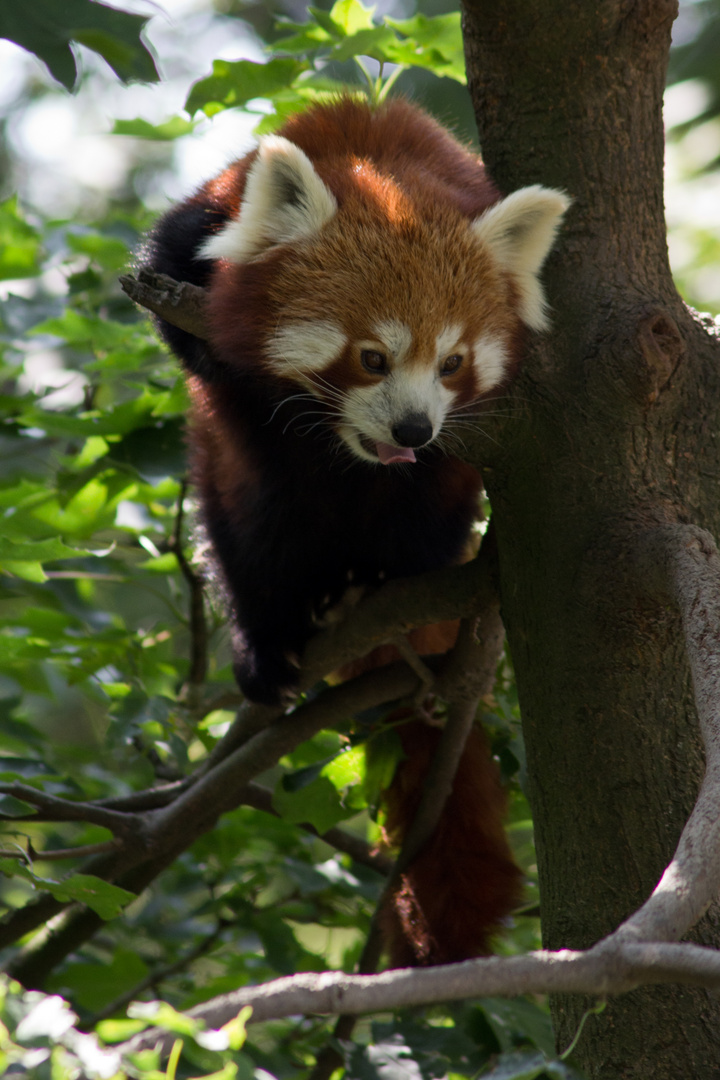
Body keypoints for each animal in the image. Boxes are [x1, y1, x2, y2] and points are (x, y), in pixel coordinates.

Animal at [143, 97, 569, 967]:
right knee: (249, 537)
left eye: (451, 363)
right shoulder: (198, 225)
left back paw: (369, 586)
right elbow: (187, 324)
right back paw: (271, 639)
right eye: (372, 357)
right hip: (238, 493)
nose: (412, 428)